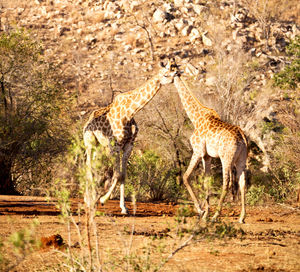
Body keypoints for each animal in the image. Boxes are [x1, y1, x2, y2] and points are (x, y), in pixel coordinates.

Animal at [82, 60, 177, 215]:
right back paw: (89, 200)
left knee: (93, 168)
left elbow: (123, 175)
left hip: (99, 147)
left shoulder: (128, 146)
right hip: (89, 143)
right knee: (88, 167)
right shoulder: (114, 146)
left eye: (175, 69)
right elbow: (116, 174)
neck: (130, 113)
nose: (177, 75)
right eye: (166, 73)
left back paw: (89, 197)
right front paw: (102, 199)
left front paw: (124, 207)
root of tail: (87, 122)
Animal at [172, 65, 247, 222]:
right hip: (241, 159)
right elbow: (207, 181)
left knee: (227, 183)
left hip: (226, 158)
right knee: (242, 182)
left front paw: (201, 211)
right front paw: (205, 213)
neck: (196, 118)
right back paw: (241, 217)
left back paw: (216, 215)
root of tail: (243, 137)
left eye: (166, 71)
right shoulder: (207, 156)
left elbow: (186, 177)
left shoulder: (198, 151)